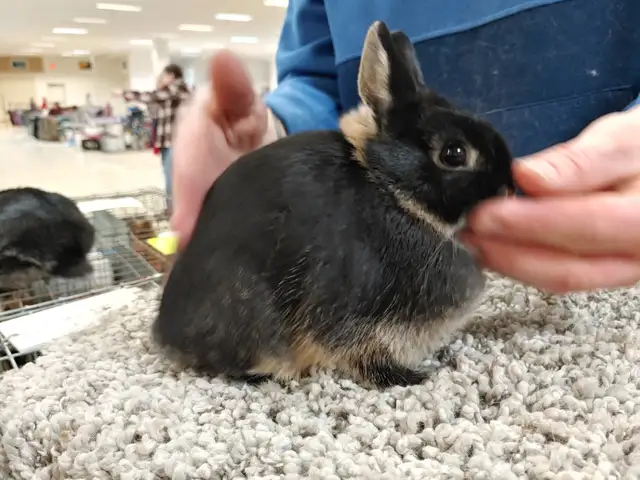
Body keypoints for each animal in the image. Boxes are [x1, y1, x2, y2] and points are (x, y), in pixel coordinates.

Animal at [153, 21, 514, 388]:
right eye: (454, 153)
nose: (509, 187)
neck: (393, 193)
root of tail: (163, 331)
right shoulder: (355, 317)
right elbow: (366, 357)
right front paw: (413, 377)